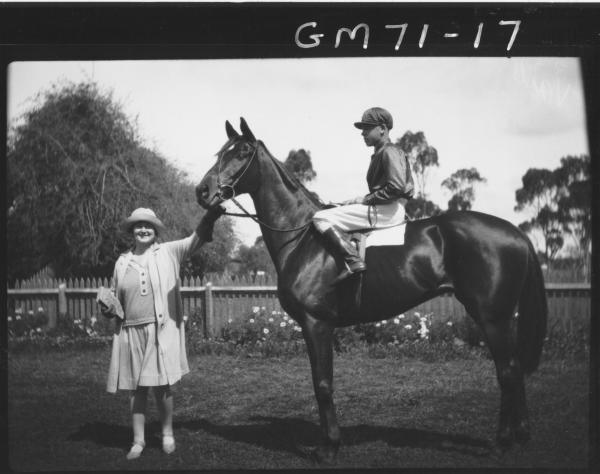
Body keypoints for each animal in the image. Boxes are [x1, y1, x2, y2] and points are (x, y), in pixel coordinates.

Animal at [198, 118, 548, 462]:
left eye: (242, 152)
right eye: (219, 152)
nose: (202, 191)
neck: (301, 238)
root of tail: (515, 232)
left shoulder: (317, 324)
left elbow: (322, 384)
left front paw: (329, 447)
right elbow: (320, 382)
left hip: (492, 318)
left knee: (507, 371)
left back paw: (502, 442)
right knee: (514, 369)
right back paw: (521, 436)